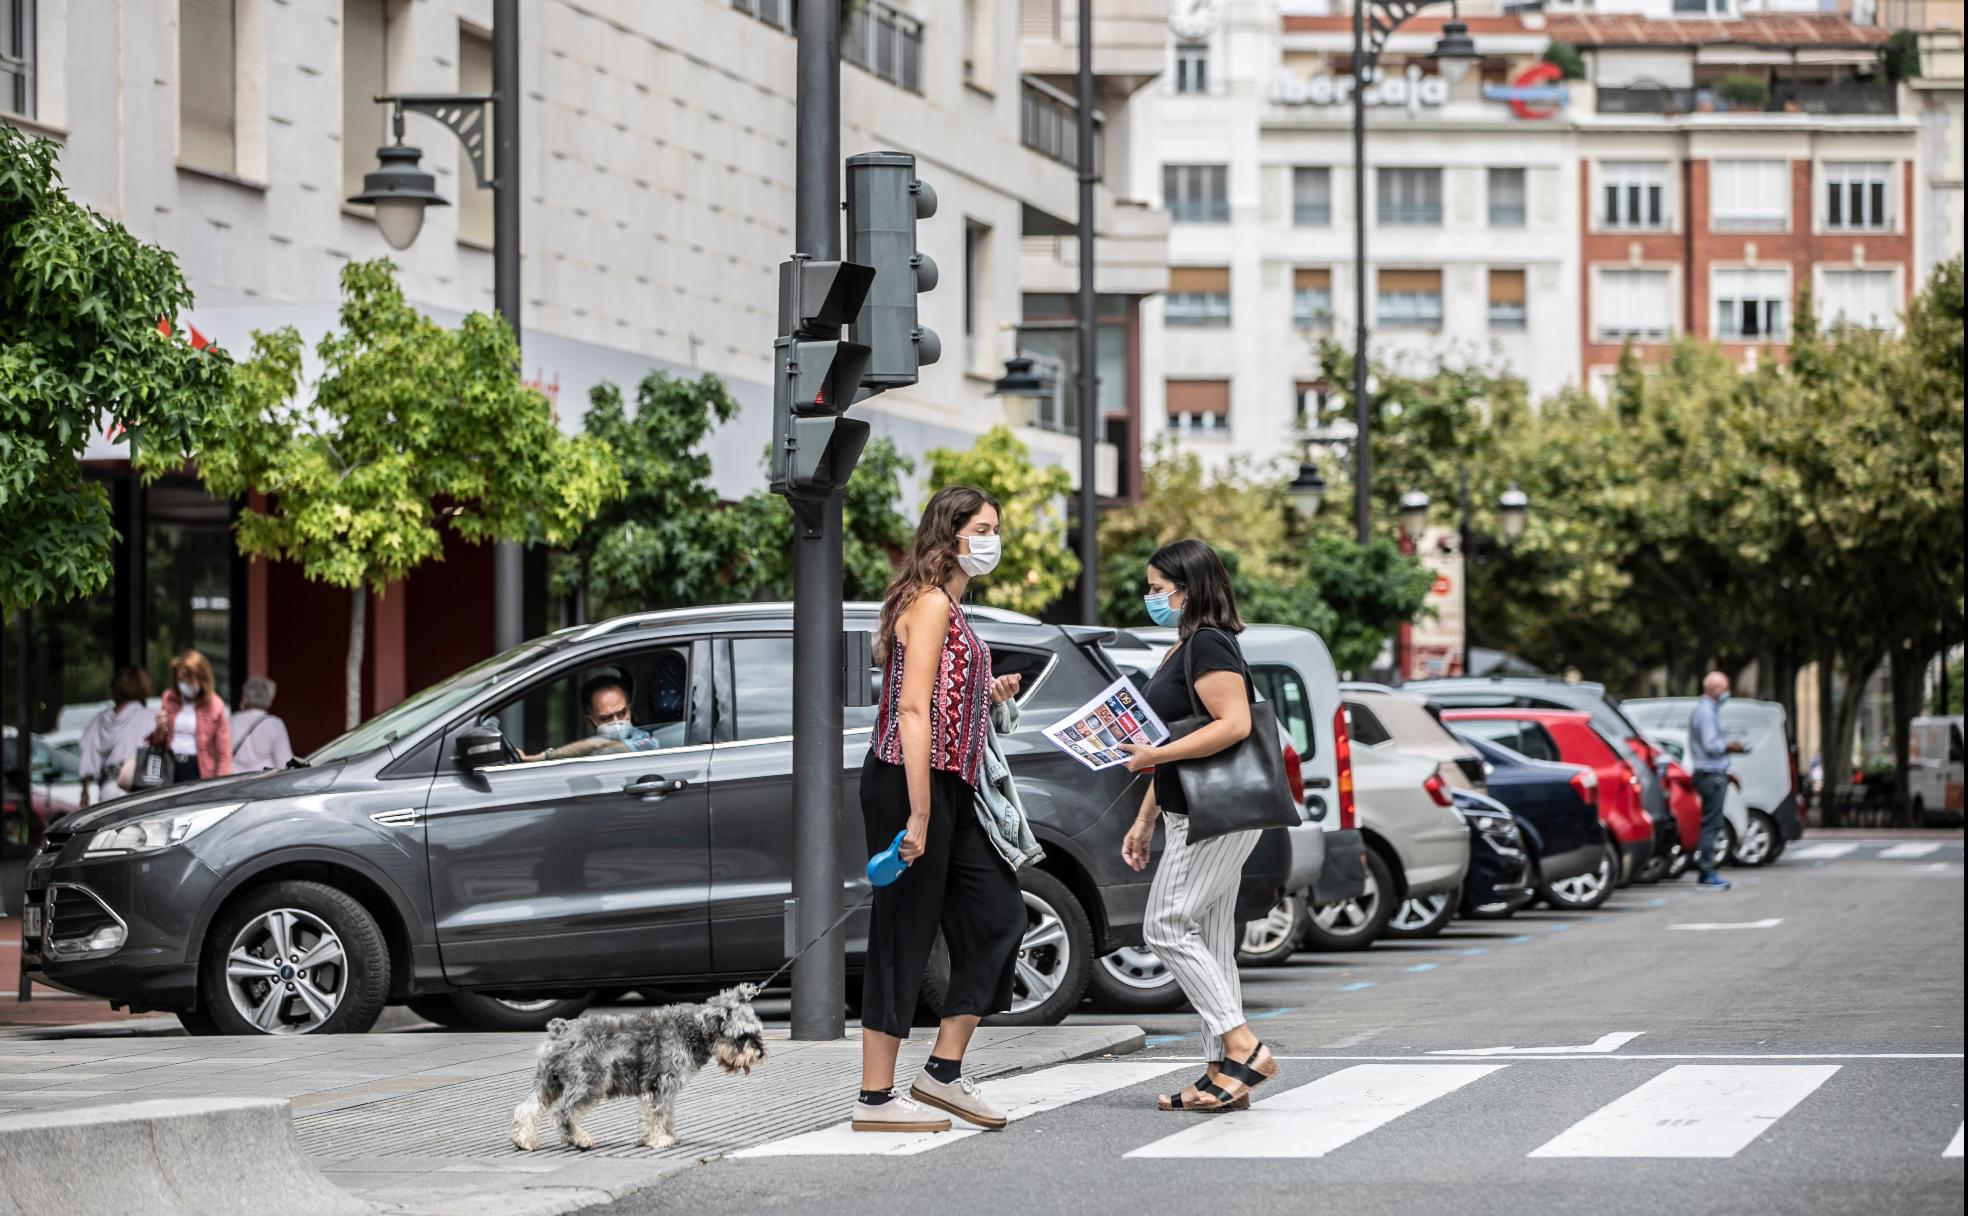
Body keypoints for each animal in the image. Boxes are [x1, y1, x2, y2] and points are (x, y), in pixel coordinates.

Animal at [511, 983, 763, 1149]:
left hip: (548, 1080)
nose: (760, 1053)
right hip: (590, 1083)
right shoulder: (662, 1085)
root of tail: (561, 1030)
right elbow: (657, 1114)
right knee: (564, 1112)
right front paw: (659, 1140)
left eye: (757, 1030)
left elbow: (665, 1115)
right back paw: (580, 1139)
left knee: (527, 1107)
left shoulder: (664, 1090)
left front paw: (666, 1136)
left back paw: (523, 1140)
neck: (692, 1030)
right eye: (742, 1035)